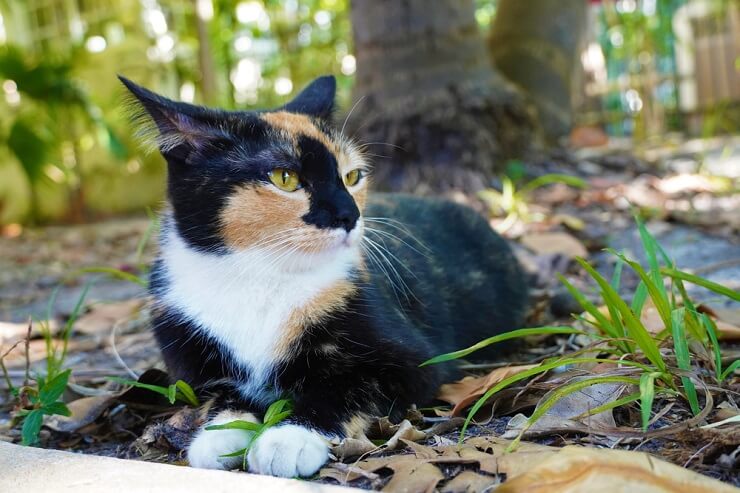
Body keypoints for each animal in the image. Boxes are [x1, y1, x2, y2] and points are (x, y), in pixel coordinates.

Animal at [120, 76, 528, 476]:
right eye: (284, 177)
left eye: (352, 176)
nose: (350, 215)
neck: (260, 273)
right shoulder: (189, 353)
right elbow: (221, 395)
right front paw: (219, 436)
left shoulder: (412, 361)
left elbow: (347, 386)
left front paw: (290, 438)